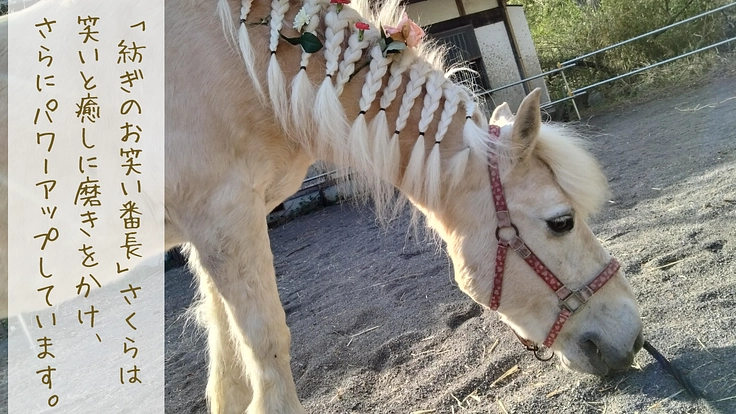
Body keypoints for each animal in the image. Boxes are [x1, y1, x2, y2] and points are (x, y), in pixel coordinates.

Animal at [0, 0, 640, 410]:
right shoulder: (224, 219)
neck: (244, 61)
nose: (630, 339)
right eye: (561, 222)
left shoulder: (208, 232)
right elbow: (267, 348)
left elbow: (228, 368)